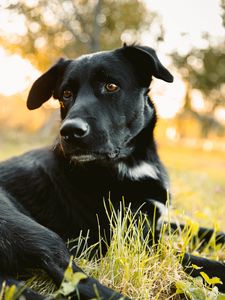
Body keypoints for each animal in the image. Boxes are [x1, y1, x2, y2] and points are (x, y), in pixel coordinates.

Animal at [0, 43, 225, 298]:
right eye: (66, 94)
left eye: (111, 86)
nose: (70, 131)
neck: (131, 163)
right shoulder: (135, 243)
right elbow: (199, 261)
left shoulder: (156, 223)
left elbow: (206, 232)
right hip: (34, 231)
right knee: (77, 280)